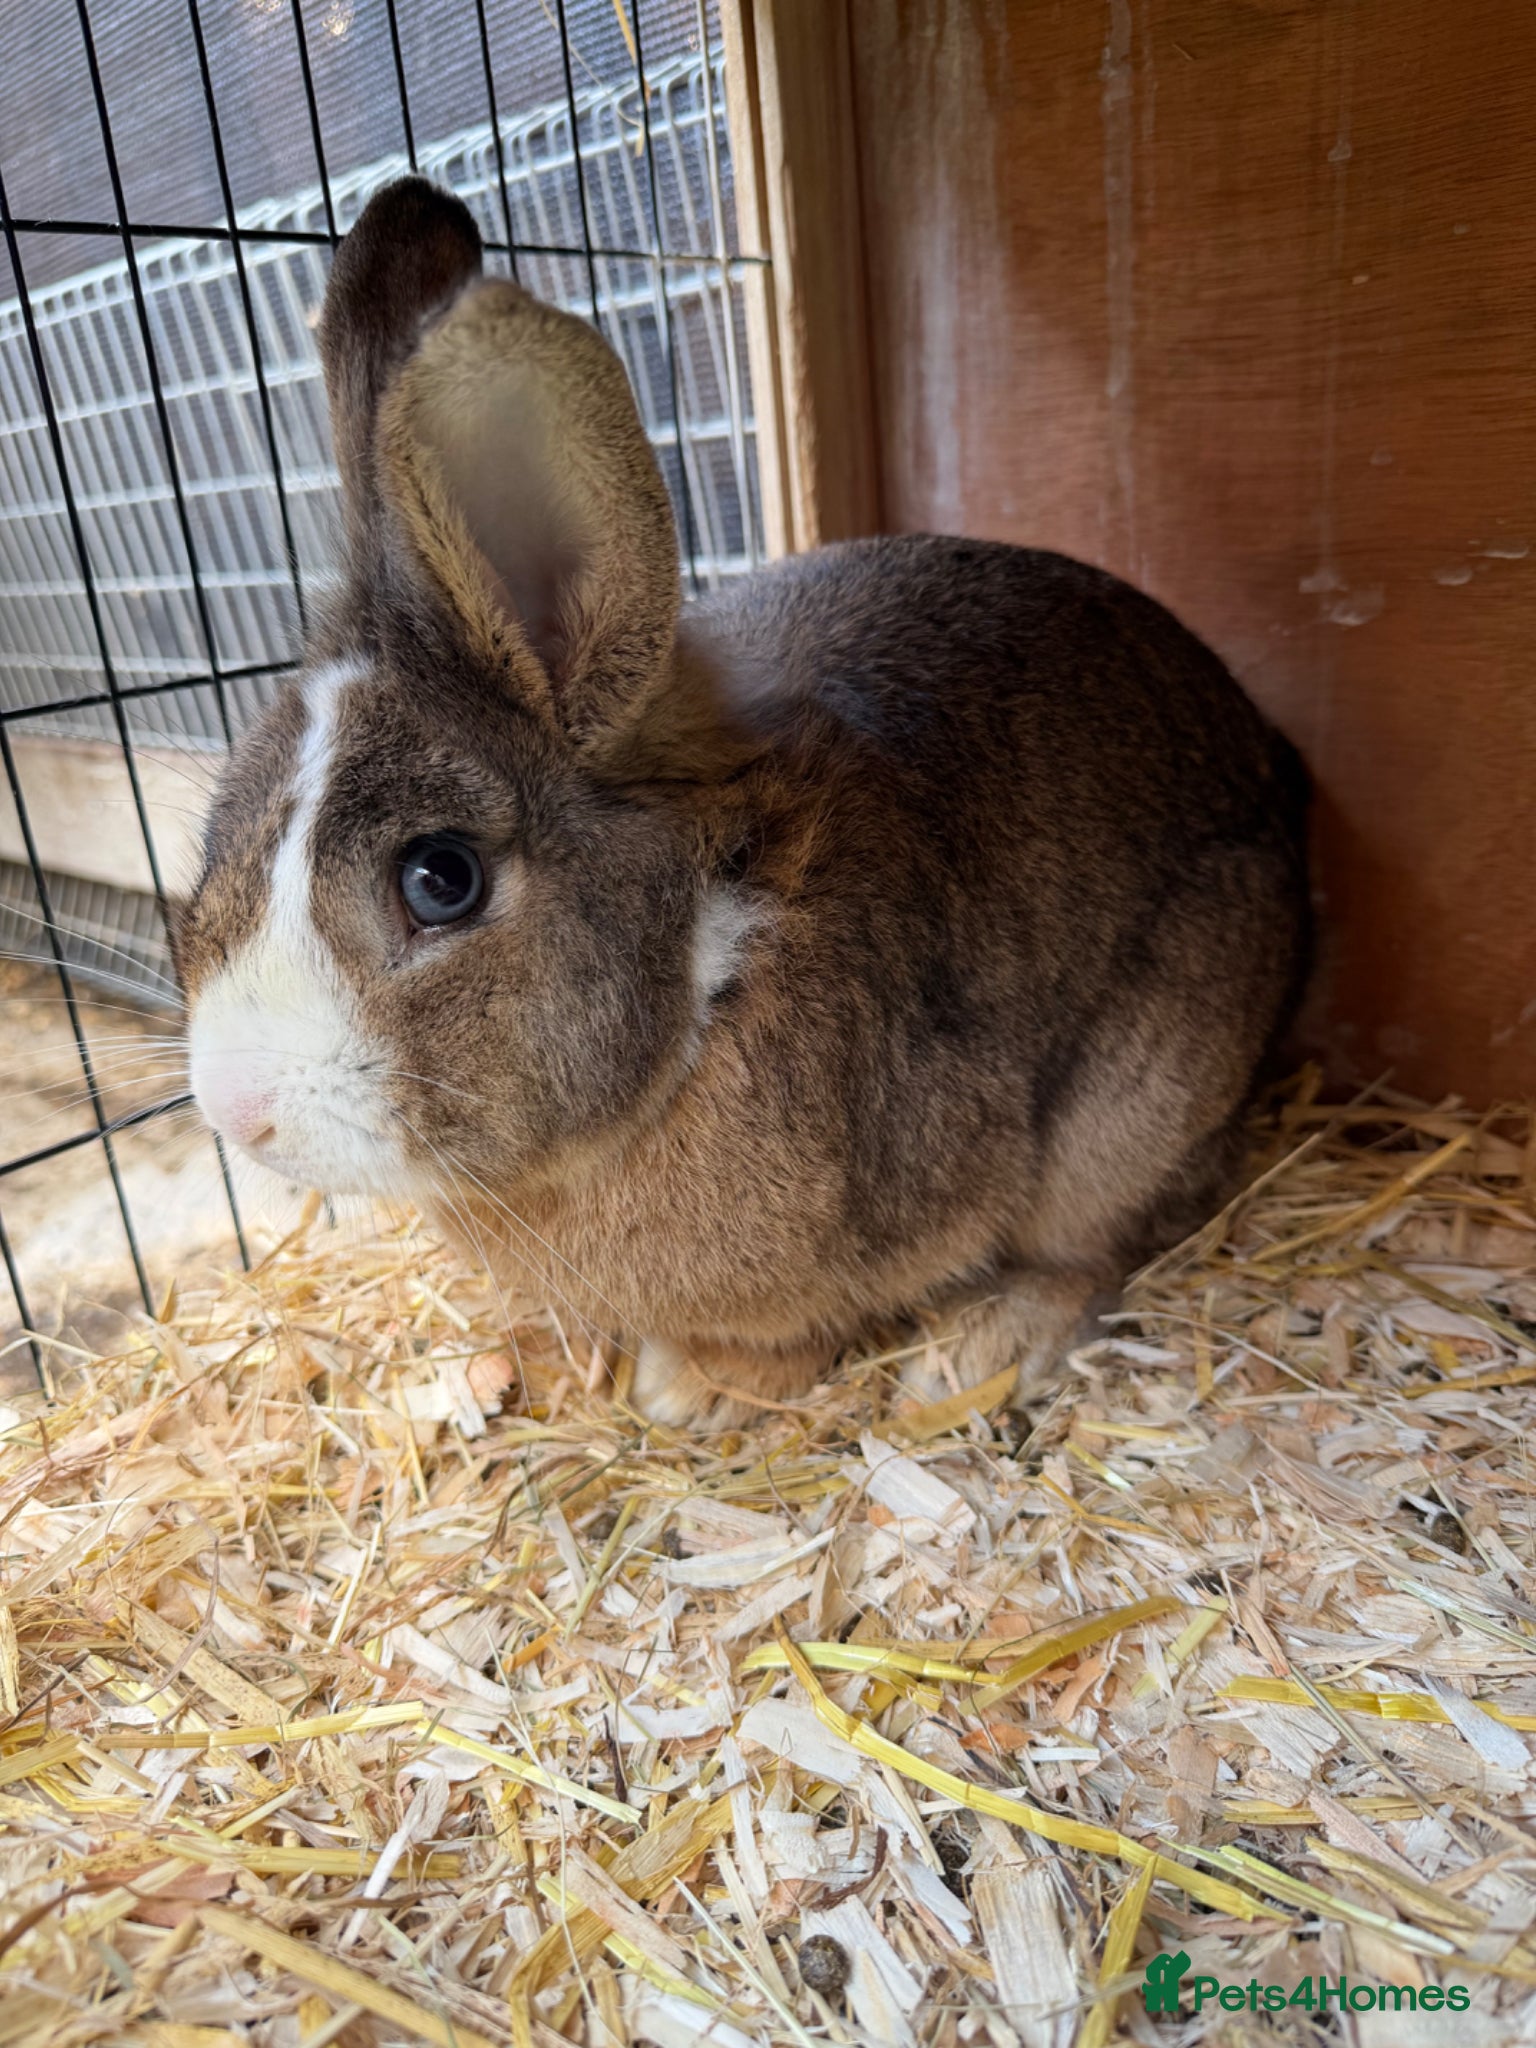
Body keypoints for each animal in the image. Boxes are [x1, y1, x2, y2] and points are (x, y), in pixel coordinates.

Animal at [180, 176, 1311, 1429]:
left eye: (440, 878)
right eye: (216, 845)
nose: (233, 1108)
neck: (709, 969)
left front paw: (697, 1389)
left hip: (1145, 1083)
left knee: (1106, 1239)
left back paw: (978, 1348)